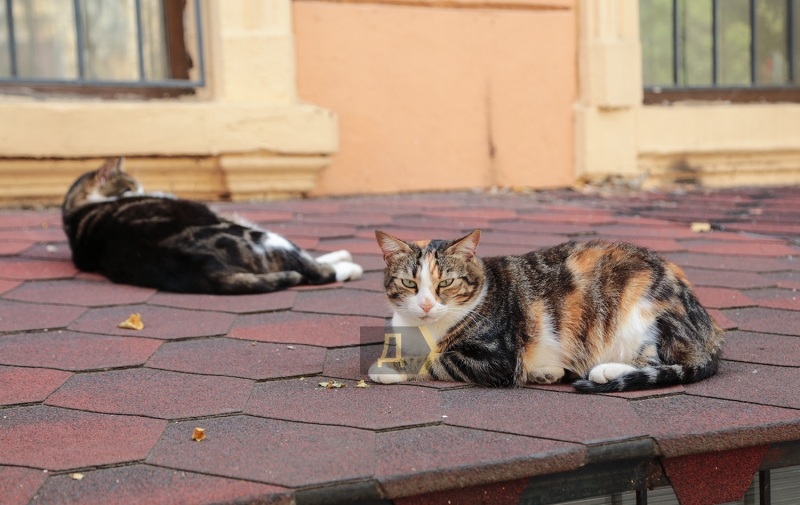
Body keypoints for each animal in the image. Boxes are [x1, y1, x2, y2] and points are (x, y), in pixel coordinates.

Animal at [62, 157, 362, 292]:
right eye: (132, 188)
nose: (142, 191)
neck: (74, 210)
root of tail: (207, 270)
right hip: (263, 236)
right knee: (315, 271)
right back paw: (348, 265)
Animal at [370, 230, 724, 392]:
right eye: (409, 283)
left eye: (446, 283)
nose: (426, 305)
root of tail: (710, 334)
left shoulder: (496, 359)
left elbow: (434, 359)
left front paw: (386, 368)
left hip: (641, 312)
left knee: (654, 361)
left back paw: (605, 370)